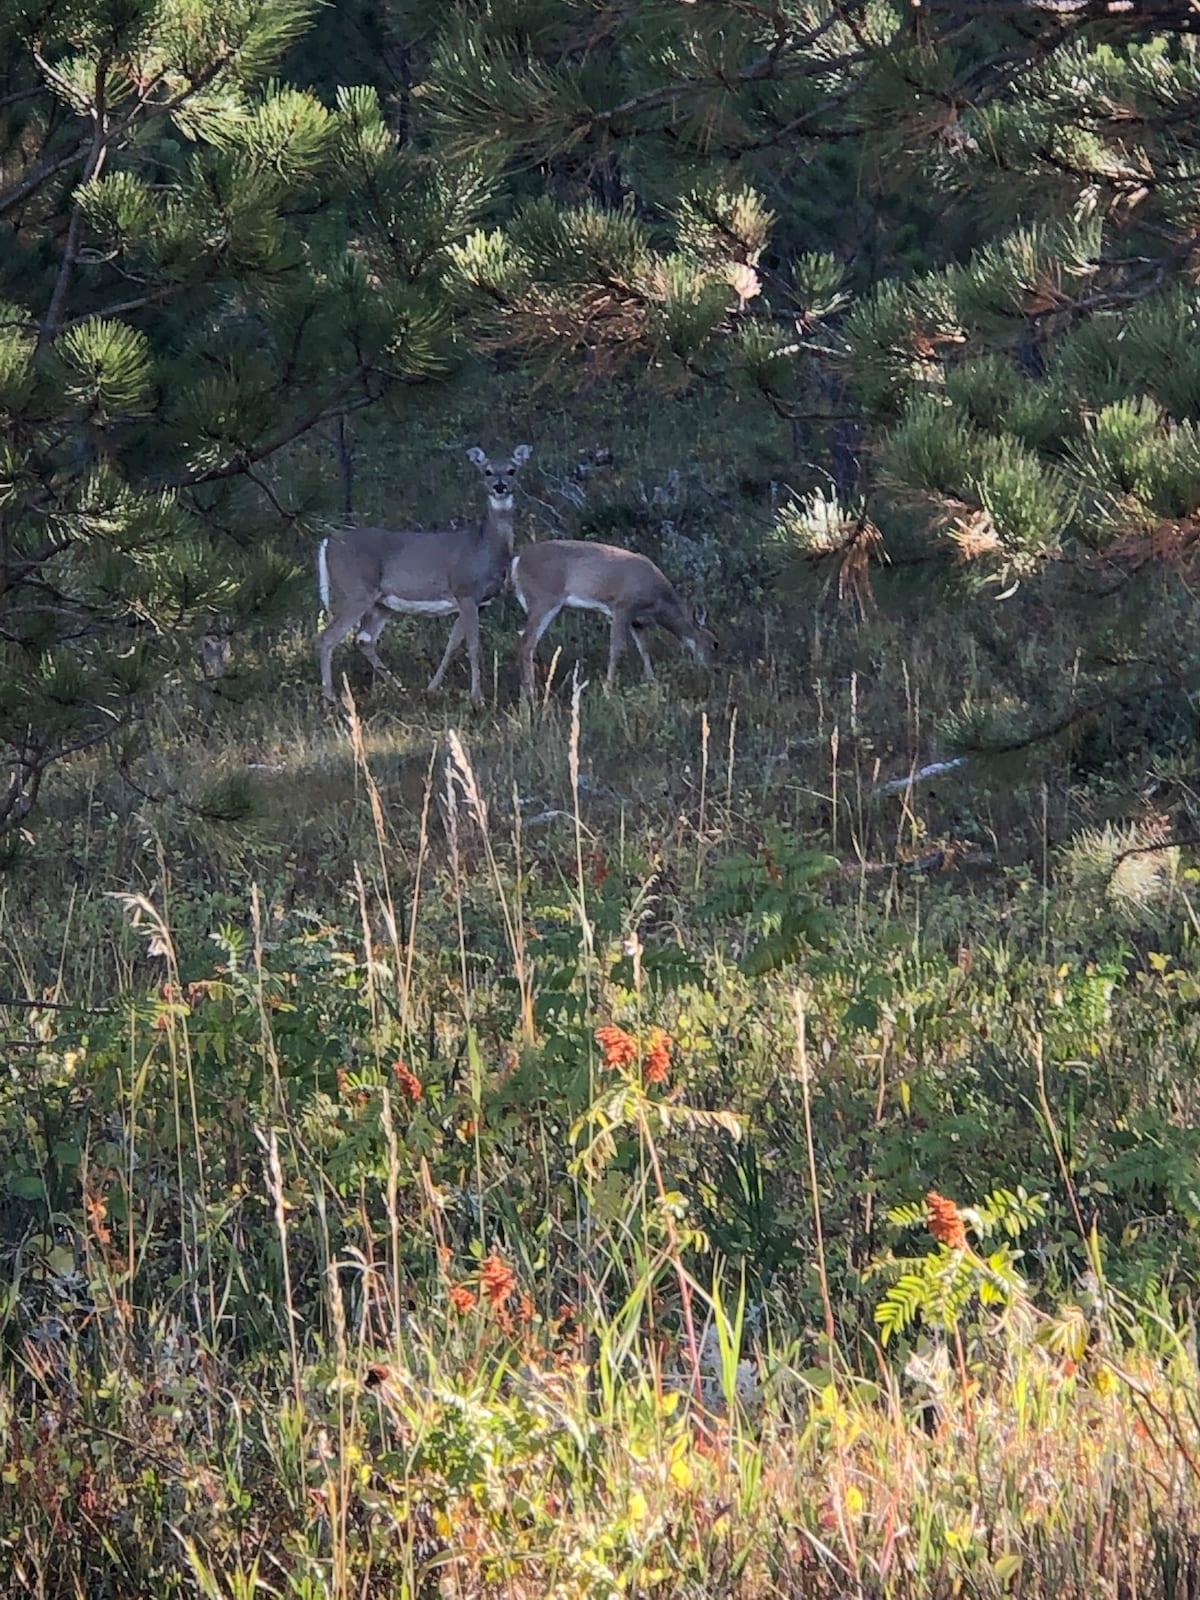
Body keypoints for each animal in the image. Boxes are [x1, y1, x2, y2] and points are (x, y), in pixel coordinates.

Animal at [316, 444, 534, 707]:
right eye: (487, 471)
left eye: (512, 470)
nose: (499, 486)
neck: (484, 547)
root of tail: (328, 542)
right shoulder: (466, 591)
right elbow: (473, 646)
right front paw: (478, 699)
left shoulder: (477, 602)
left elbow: (452, 644)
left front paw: (432, 688)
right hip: (354, 592)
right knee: (327, 638)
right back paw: (329, 698)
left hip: (381, 603)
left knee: (363, 639)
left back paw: (399, 688)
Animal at [512, 537, 720, 694]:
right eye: (715, 643)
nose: (714, 670)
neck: (658, 602)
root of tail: (517, 562)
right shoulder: (622, 607)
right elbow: (618, 648)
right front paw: (608, 689)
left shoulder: (638, 621)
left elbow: (644, 649)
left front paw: (652, 681)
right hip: (544, 599)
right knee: (527, 641)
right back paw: (531, 693)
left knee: (524, 638)